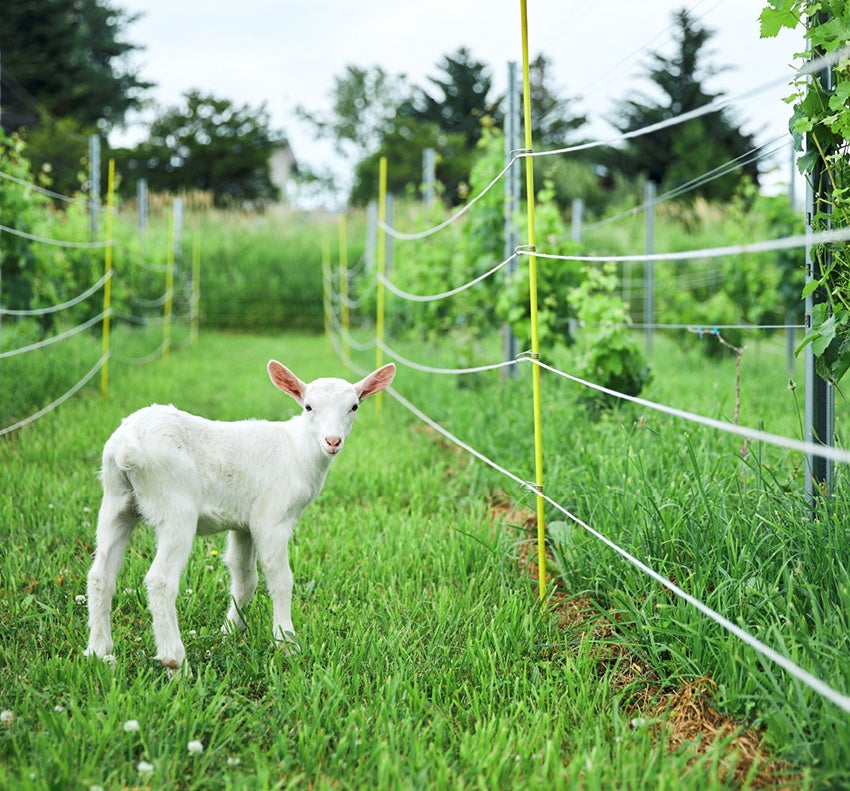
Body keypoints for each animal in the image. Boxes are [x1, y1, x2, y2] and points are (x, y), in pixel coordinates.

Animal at [83, 358, 394, 668]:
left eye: (354, 406)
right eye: (308, 407)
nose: (332, 441)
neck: (297, 449)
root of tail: (126, 448)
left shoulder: (243, 523)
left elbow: (244, 577)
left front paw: (229, 631)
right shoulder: (272, 519)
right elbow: (280, 579)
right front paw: (287, 643)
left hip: (116, 501)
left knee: (100, 575)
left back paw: (99, 652)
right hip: (175, 506)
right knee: (161, 581)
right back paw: (176, 662)